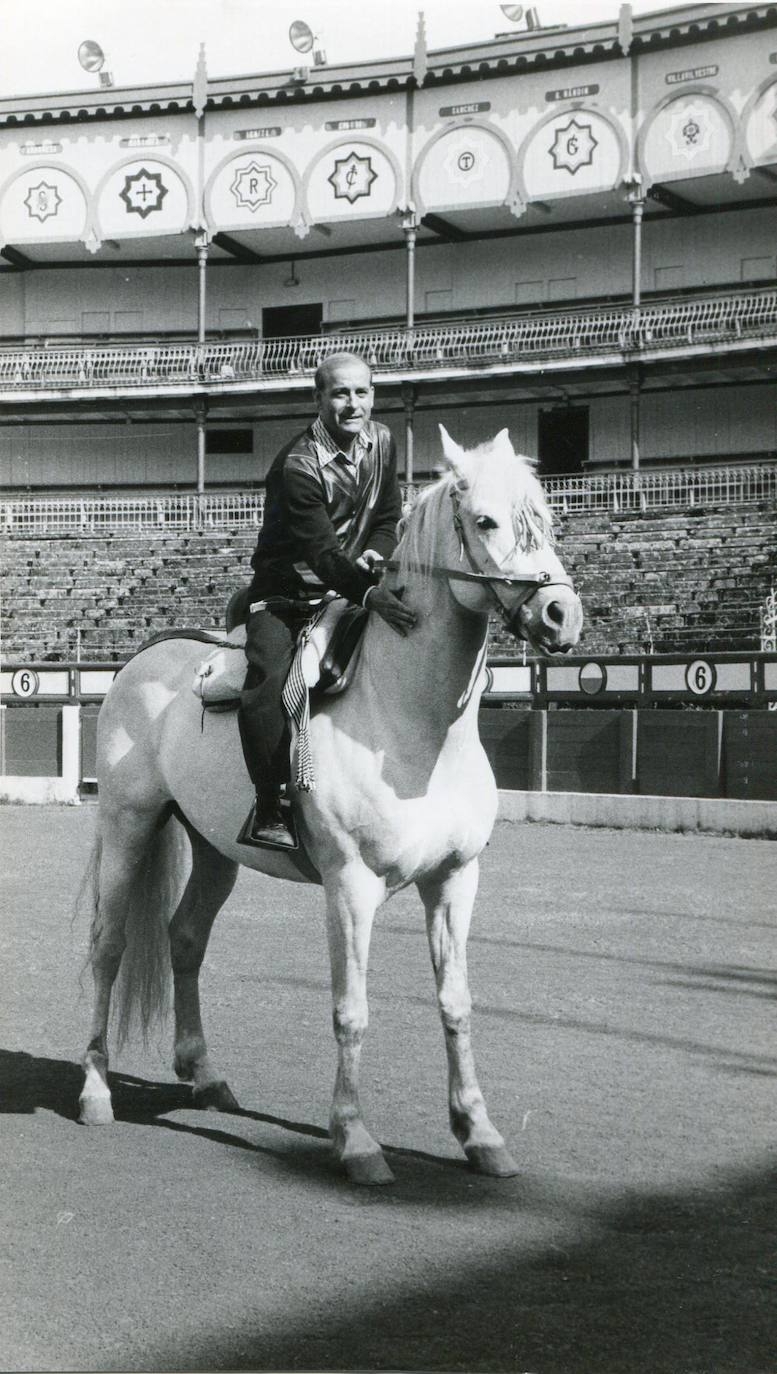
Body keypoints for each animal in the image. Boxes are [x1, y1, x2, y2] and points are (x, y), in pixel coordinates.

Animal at [79, 425, 582, 1181]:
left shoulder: (454, 880)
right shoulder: (350, 887)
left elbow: (456, 1004)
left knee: (185, 938)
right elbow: (352, 1010)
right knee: (109, 946)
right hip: (128, 825)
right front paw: (355, 1140)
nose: (561, 614)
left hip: (213, 848)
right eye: (486, 521)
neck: (408, 722)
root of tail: (142, 662)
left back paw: (205, 1076)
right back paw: (95, 1090)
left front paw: (480, 1133)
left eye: (546, 519)